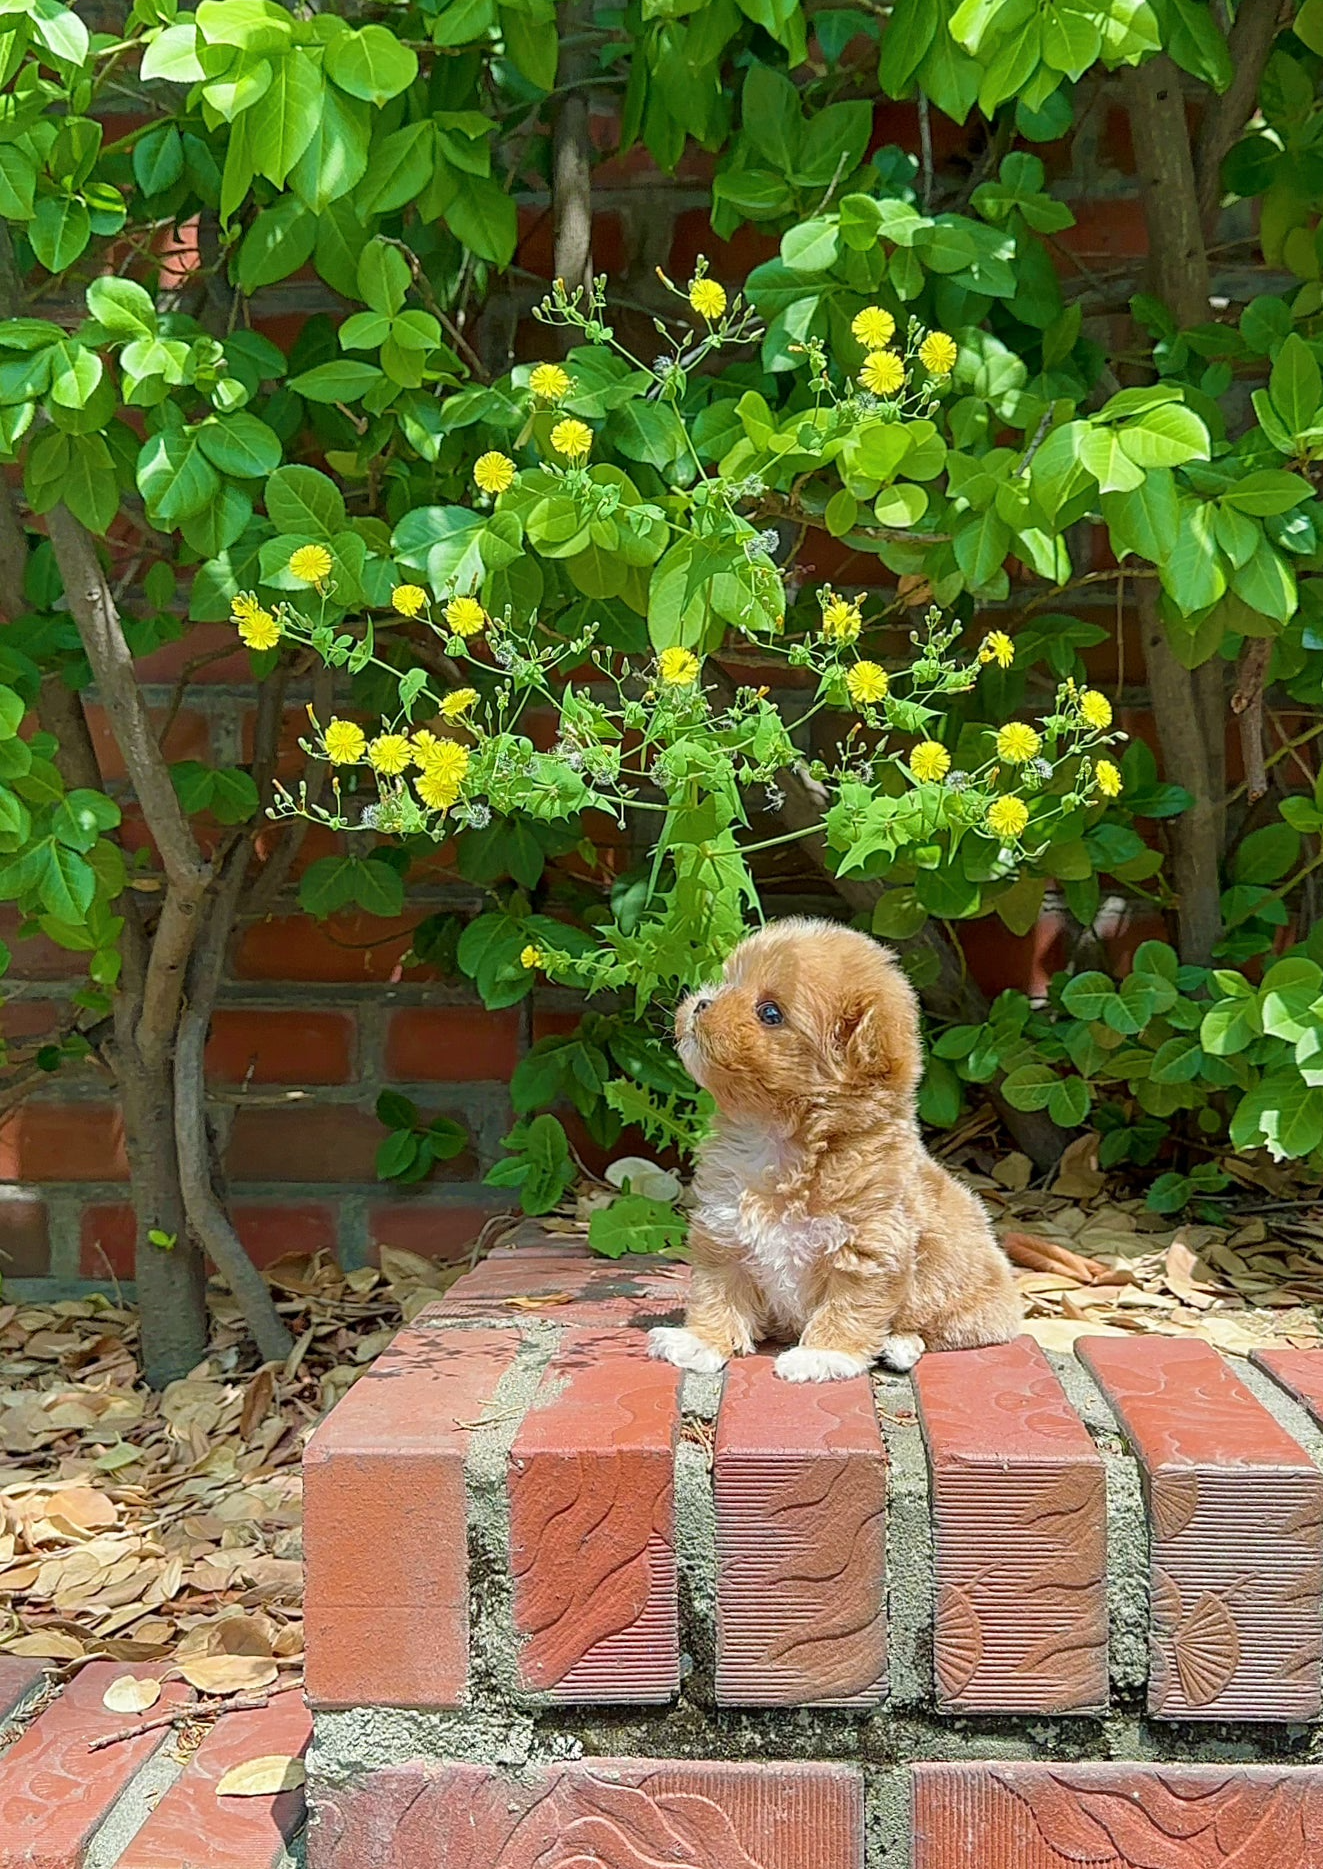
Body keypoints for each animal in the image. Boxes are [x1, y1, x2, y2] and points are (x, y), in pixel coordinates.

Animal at [650, 912, 1024, 1383]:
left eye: (769, 1013)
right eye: (729, 981)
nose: (702, 1002)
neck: (776, 1144)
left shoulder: (868, 1253)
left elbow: (846, 1309)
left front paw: (823, 1355)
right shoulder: (725, 1238)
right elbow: (718, 1295)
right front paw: (700, 1341)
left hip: (965, 1307)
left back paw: (900, 1344)